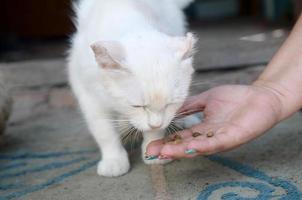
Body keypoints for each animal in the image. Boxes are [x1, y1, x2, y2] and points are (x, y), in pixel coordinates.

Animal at [67, 0, 197, 177]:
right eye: (136, 106)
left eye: (170, 104)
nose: (155, 124)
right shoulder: (90, 97)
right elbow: (104, 131)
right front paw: (113, 160)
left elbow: (155, 133)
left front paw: (152, 150)